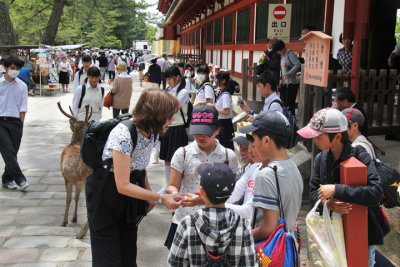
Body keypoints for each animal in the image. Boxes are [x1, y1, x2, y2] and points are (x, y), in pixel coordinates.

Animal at [57, 102, 92, 239]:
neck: (74, 144)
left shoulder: (65, 177)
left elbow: (68, 199)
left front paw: (64, 221)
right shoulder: (77, 182)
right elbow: (76, 198)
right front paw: (74, 218)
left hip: (87, 181)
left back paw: (81, 234)